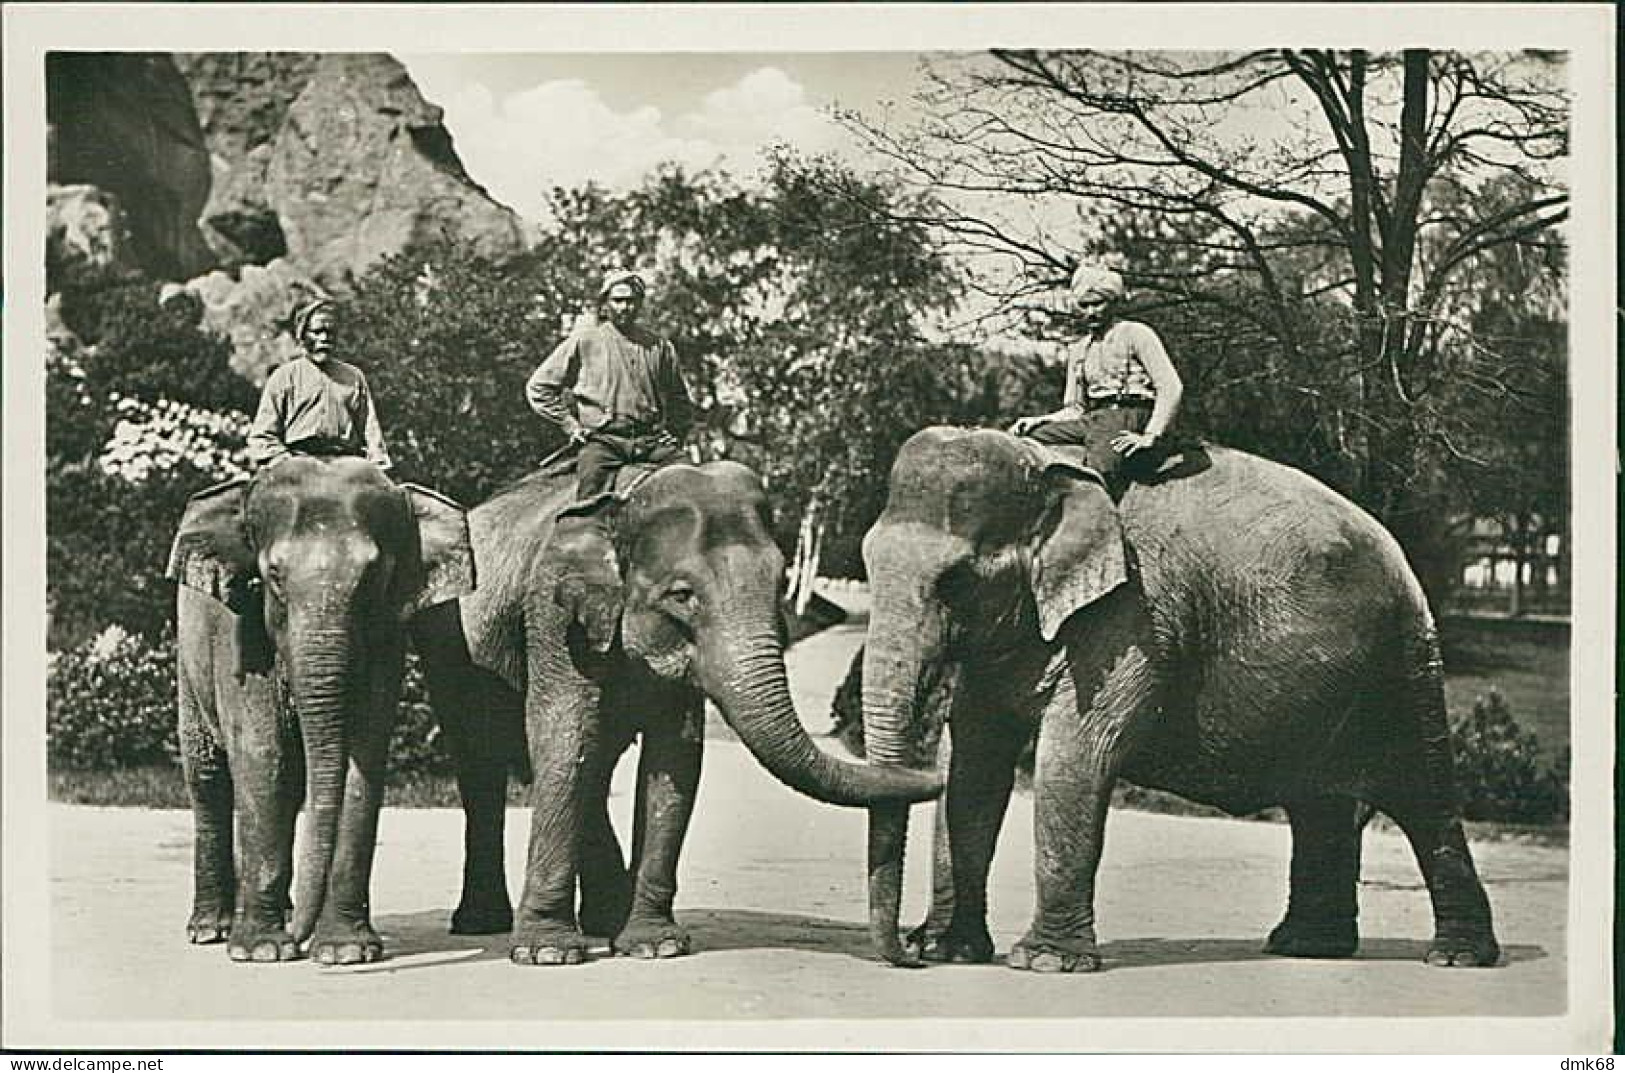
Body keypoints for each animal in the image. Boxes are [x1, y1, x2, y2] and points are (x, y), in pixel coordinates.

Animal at [167, 458, 474, 968]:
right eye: (272, 576)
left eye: (373, 576)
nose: (298, 941)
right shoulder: (240, 634)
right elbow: (264, 757)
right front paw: (262, 950)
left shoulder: (387, 639)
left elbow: (362, 763)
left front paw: (345, 951)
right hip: (188, 655)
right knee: (208, 776)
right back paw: (212, 929)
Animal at [412, 458, 949, 962]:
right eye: (682, 595)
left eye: (780, 582)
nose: (937, 771)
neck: (622, 502)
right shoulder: (553, 613)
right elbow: (564, 736)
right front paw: (549, 953)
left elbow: (675, 756)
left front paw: (656, 945)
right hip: (449, 655)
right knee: (482, 765)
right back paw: (483, 923)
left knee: (596, 768)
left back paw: (605, 917)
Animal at [858, 425, 1501, 975]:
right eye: (865, 560)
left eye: (955, 582)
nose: (906, 956)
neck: (1052, 470)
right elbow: (974, 763)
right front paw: (948, 950)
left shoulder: (1134, 617)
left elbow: (1076, 758)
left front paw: (1044, 963)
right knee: (1322, 806)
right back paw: (1307, 948)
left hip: (1405, 667)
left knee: (1423, 800)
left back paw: (1456, 958)